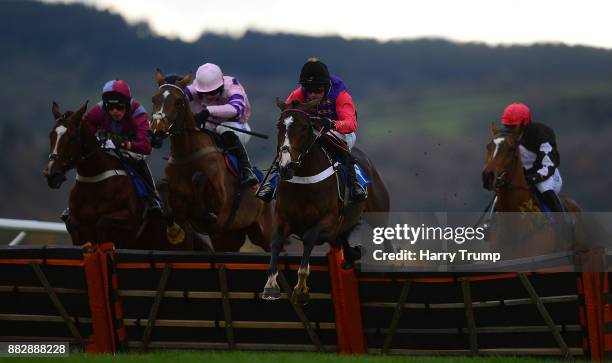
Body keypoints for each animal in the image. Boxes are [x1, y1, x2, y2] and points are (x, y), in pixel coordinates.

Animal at [43, 101, 173, 250]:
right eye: (51, 135)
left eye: (72, 137)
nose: (52, 174)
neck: (94, 181)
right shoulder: (75, 222)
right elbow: (73, 224)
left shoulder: (132, 223)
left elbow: (103, 221)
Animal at [148, 70, 272, 253]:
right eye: (153, 99)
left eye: (178, 102)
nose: (156, 133)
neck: (187, 154)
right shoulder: (182, 213)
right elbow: (162, 186)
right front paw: (174, 232)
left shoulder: (221, 202)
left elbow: (199, 178)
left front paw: (206, 213)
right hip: (227, 238)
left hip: (264, 233)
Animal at [260, 98, 390, 306]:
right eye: (279, 125)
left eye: (304, 127)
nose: (285, 167)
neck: (304, 178)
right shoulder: (282, 218)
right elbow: (276, 241)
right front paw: (271, 285)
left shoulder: (328, 221)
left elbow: (309, 238)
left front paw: (301, 288)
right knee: (345, 242)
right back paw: (352, 255)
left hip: (378, 212)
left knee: (386, 237)